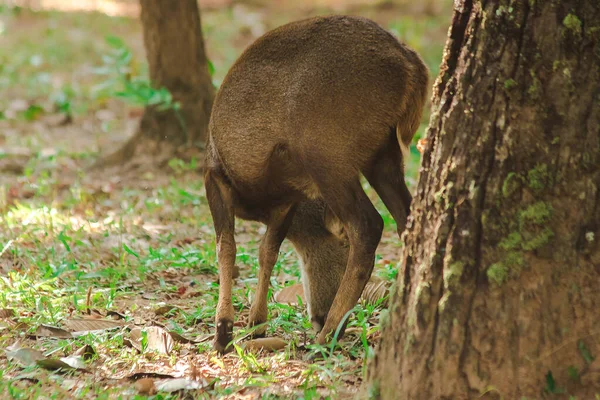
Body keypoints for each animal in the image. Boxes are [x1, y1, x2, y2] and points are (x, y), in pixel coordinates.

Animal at [204, 14, 428, 354]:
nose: (318, 317)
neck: (261, 200)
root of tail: (412, 66)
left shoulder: (213, 174)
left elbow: (226, 249)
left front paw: (223, 331)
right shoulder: (287, 203)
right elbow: (267, 251)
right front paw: (256, 324)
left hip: (327, 153)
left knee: (369, 223)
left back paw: (328, 336)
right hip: (383, 154)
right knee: (407, 217)